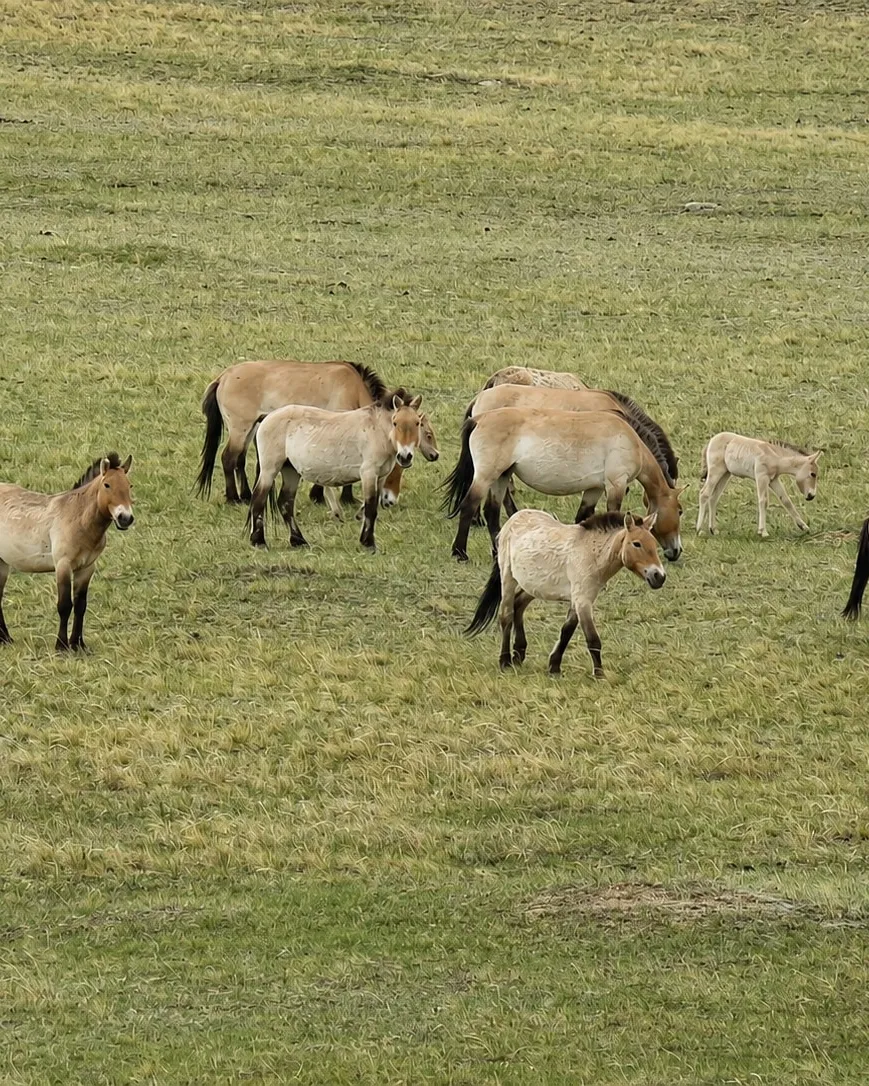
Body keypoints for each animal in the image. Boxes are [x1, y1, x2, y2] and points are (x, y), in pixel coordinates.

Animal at [0, 453, 134, 652]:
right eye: (107, 485)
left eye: (129, 485)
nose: (125, 518)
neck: (77, 518)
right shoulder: (63, 565)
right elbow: (64, 605)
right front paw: (61, 645)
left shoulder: (86, 568)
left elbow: (80, 606)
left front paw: (78, 644)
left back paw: (6, 639)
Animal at [196, 358, 407, 507]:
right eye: (395, 467)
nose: (389, 501)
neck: (352, 387)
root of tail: (223, 377)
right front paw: (330, 497)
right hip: (241, 429)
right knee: (228, 458)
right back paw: (233, 499)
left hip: (249, 429)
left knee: (238, 460)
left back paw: (246, 495)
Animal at [247, 392, 424, 552]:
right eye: (395, 423)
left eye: (417, 423)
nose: (405, 456)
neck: (376, 430)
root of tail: (267, 417)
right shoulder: (369, 474)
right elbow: (371, 509)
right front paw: (368, 544)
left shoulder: (380, 477)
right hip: (269, 470)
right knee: (258, 500)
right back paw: (259, 542)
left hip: (291, 471)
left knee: (285, 503)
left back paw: (299, 541)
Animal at [443, 407, 685, 563]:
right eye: (680, 511)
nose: (676, 551)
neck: (628, 439)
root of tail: (479, 418)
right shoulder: (615, 484)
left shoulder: (594, 489)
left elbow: (583, 518)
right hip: (486, 476)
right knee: (469, 506)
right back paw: (460, 553)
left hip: (502, 476)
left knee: (492, 512)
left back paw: (496, 553)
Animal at [466, 509, 665, 677]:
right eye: (637, 544)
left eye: (654, 544)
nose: (659, 576)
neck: (590, 551)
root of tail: (513, 519)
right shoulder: (583, 600)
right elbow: (593, 640)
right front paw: (599, 674)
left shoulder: (579, 599)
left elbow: (566, 631)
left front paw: (554, 666)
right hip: (508, 579)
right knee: (506, 615)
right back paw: (505, 661)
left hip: (533, 585)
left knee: (518, 605)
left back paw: (519, 654)